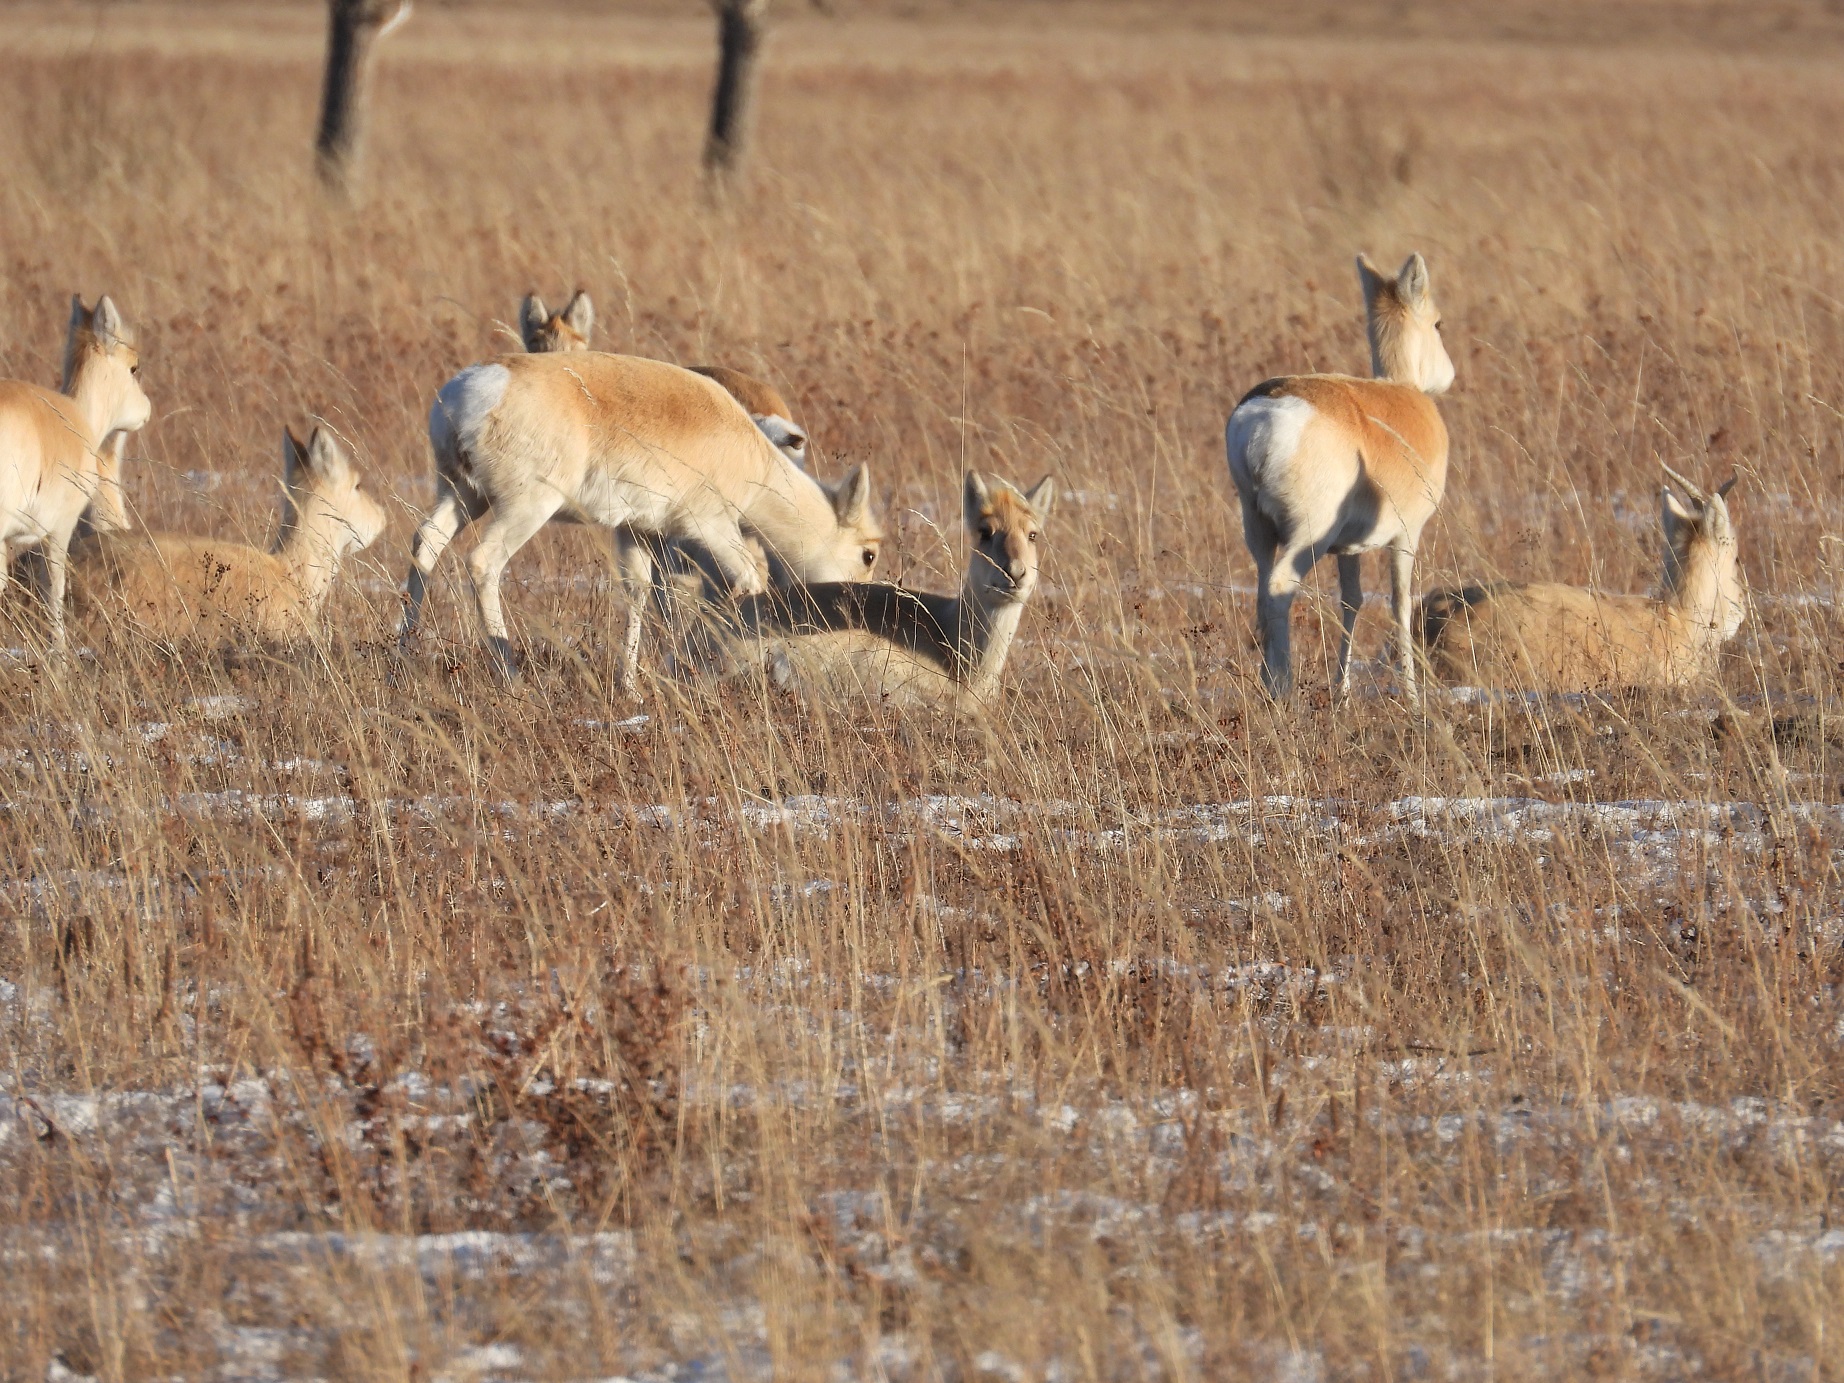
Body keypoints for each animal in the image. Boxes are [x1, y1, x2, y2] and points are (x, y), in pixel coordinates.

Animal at [400, 351, 882, 681]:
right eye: (869, 554)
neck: (753, 459)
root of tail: (476, 386)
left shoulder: (635, 530)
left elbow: (637, 592)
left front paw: (630, 685)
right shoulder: (708, 527)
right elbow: (743, 583)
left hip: (462, 495)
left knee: (426, 543)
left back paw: (400, 659)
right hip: (524, 507)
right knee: (482, 562)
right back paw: (511, 677)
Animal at [1225, 253, 1455, 701]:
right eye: (1439, 323)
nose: (1449, 376)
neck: (1402, 390)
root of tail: (1263, 414)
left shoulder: (1349, 549)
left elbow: (1352, 600)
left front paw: (1342, 691)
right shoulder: (1406, 536)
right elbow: (1400, 603)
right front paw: (1412, 698)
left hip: (1257, 529)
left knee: (1262, 591)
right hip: (1308, 538)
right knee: (1279, 589)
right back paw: (1284, 689)